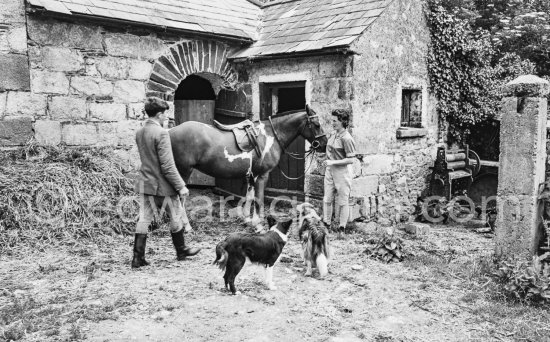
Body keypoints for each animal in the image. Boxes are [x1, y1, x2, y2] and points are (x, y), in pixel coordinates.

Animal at [170, 105, 328, 230]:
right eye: (316, 124)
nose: (324, 144)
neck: (270, 135)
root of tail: (170, 132)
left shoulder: (252, 175)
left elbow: (250, 196)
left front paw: (247, 219)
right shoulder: (262, 175)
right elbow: (258, 199)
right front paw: (258, 224)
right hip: (183, 171)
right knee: (179, 198)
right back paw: (186, 226)